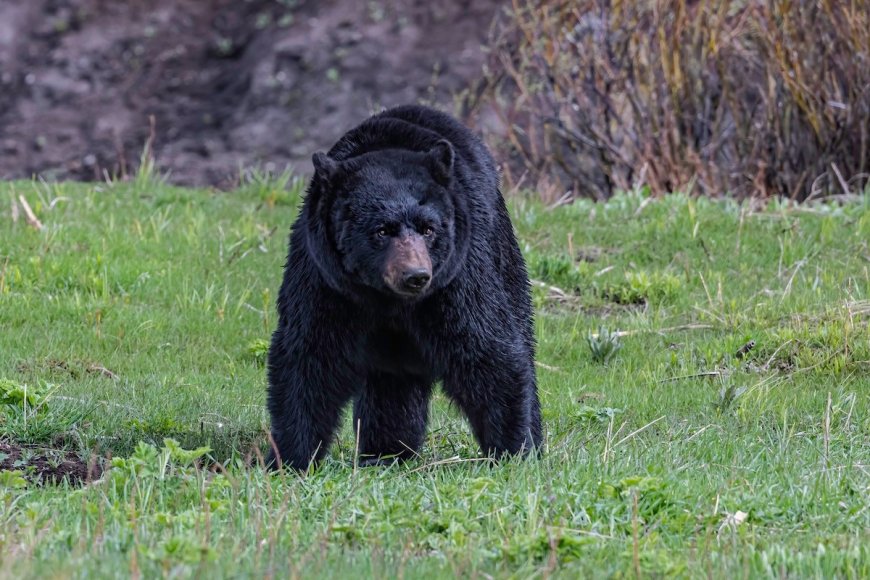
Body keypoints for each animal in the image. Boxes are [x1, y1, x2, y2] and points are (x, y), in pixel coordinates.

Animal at [266, 104, 542, 470]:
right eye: (382, 230)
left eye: (429, 228)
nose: (415, 275)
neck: (389, 301)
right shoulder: (324, 279)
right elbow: (309, 352)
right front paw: (289, 458)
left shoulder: (457, 276)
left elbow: (486, 347)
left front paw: (513, 451)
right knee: (390, 384)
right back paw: (387, 450)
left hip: (502, 250)